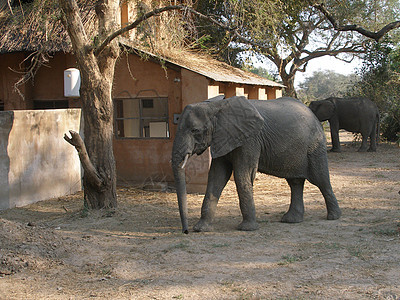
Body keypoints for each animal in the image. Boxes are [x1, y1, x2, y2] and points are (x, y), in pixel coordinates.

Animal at [170, 95, 342, 233]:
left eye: (195, 130)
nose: (185, 231)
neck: (217, 107)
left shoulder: (250, 139)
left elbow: (242, 175)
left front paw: (247, 229)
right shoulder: (223, 138)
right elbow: (216, 176)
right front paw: (201, 229)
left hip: (315, 145)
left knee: (320, 179)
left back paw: (334, 217)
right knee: (295, 182)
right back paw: (291, 220)